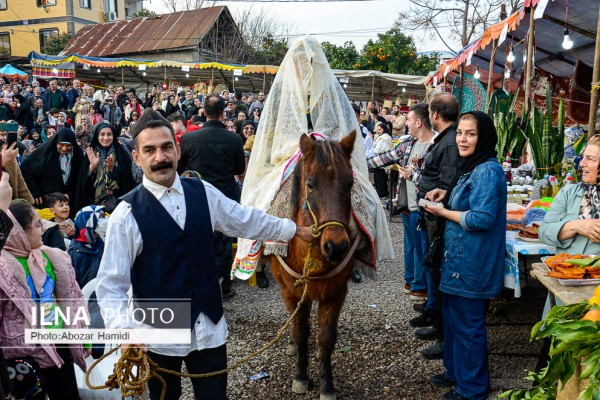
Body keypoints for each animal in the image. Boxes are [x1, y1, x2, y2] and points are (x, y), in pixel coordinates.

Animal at [270, 130, 356, 398]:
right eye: (310, 185)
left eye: (350, 184)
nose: (336, 246)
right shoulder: (292, 291)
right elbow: (300, 331)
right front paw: (300, 377)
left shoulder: (336, 292)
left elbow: (326, 337)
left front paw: (327, 384)